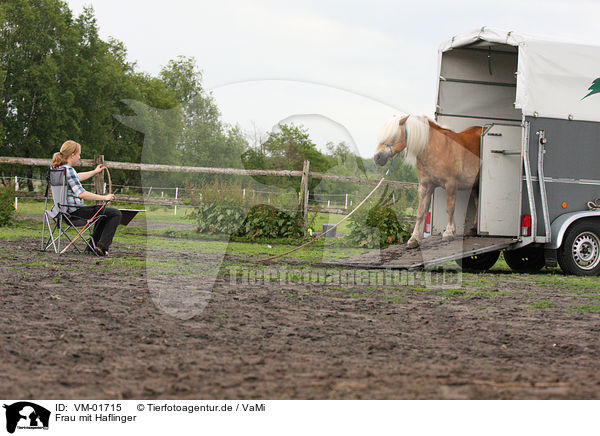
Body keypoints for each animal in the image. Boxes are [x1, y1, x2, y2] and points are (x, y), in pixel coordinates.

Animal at [376, 116, 482, 249]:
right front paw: (414, 239)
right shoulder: (425, 186)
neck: (435, 149)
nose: (377, 158)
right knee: (478, 203)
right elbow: (420, 212)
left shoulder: (451, 184)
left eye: (393, 135)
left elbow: (450, 209)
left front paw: (449, 233)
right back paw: (474, 229)